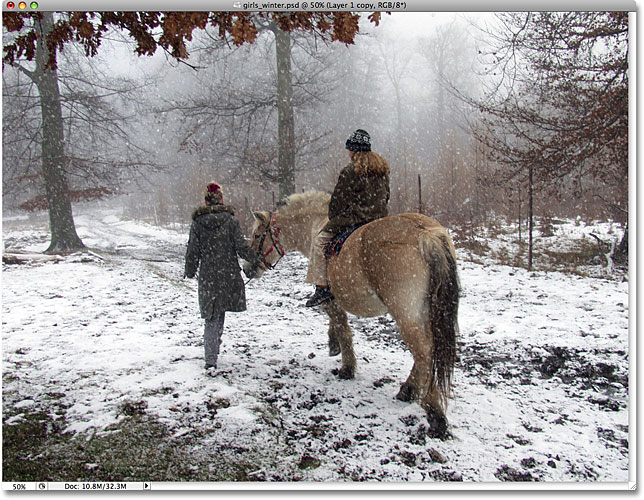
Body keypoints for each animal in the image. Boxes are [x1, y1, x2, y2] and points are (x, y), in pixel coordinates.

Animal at [244, 191, 460, 438]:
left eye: (257, 235)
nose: (247, 268)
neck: (316, 227)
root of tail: (425, 233)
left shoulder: (330, 300)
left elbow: (342, 329)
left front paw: (346, 367)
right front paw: (333, 345)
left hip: (407, 314)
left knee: (424, 352)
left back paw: (434, 413)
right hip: (425, 312)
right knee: (428, 350)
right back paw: (409, 390)